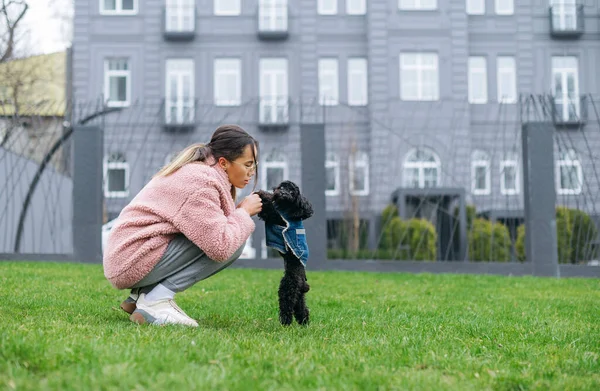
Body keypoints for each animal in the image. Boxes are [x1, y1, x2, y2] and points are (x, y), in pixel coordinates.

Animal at [255, 181, 314, 328]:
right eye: (281, 187)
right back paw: (304, 323)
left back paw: (285, 323)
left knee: (286, 306)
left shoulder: (277, 216)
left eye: (292, 192)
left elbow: (270, 208)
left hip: (288, 288)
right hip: (299, 295)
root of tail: (302, 282)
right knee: (301, 308)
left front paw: (262, 194)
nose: (282, 193)